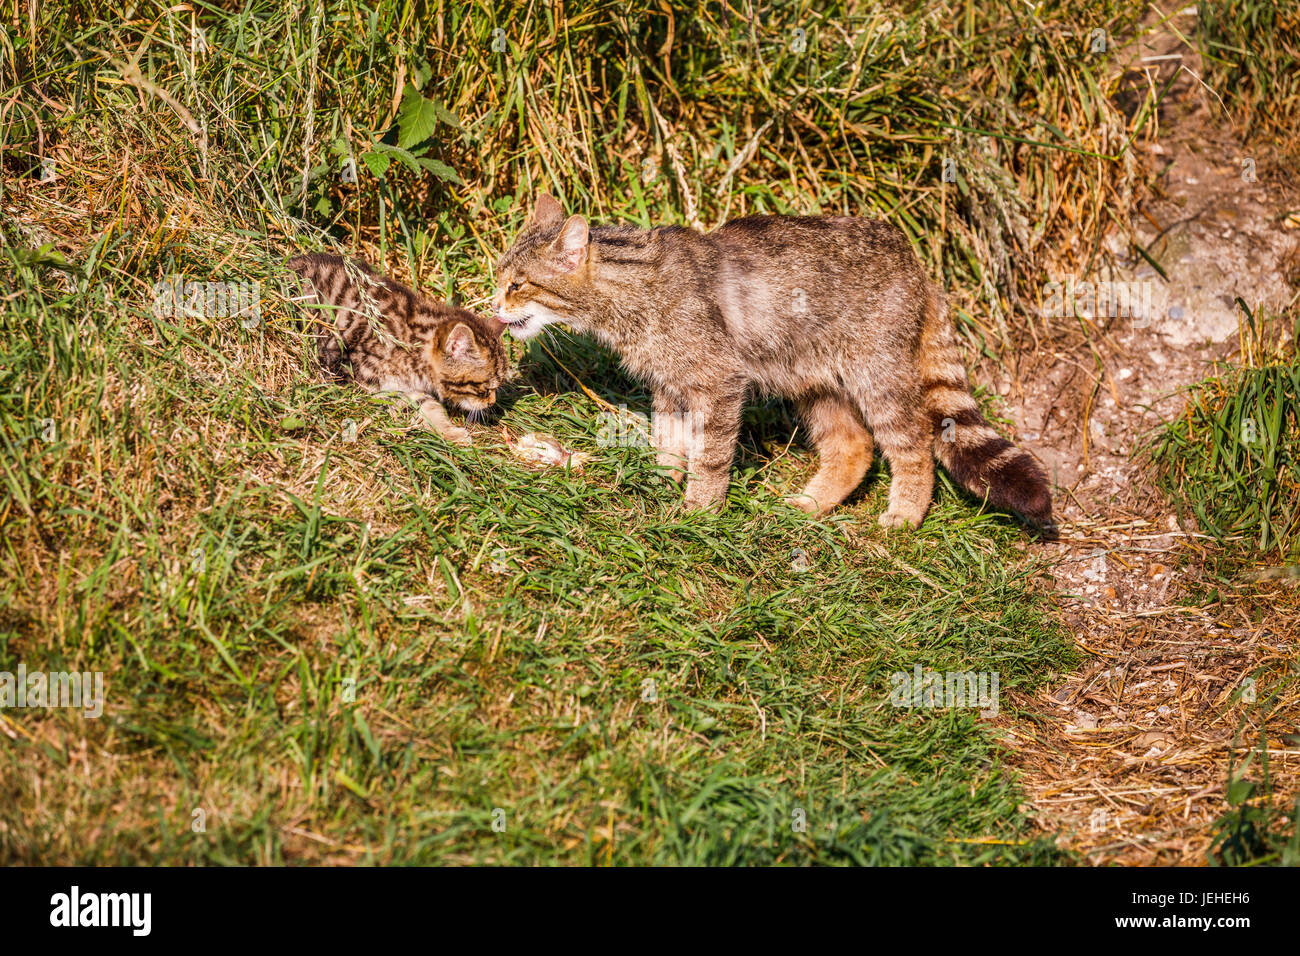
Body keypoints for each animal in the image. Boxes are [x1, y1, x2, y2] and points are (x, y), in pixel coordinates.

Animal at [491, 191, 1050, 528]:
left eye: (517, 284)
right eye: (500, 275)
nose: (493, 304)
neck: (629, 297)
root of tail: (919, 266)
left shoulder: (718, 382)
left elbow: (710, 456)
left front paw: (698, 511)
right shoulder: (671, 387)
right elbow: (668, 442)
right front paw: (662, 480)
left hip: (877, 377)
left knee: (914, 443)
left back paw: (904, 516)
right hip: (817, 385)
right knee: (853, 447)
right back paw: (809, 505)